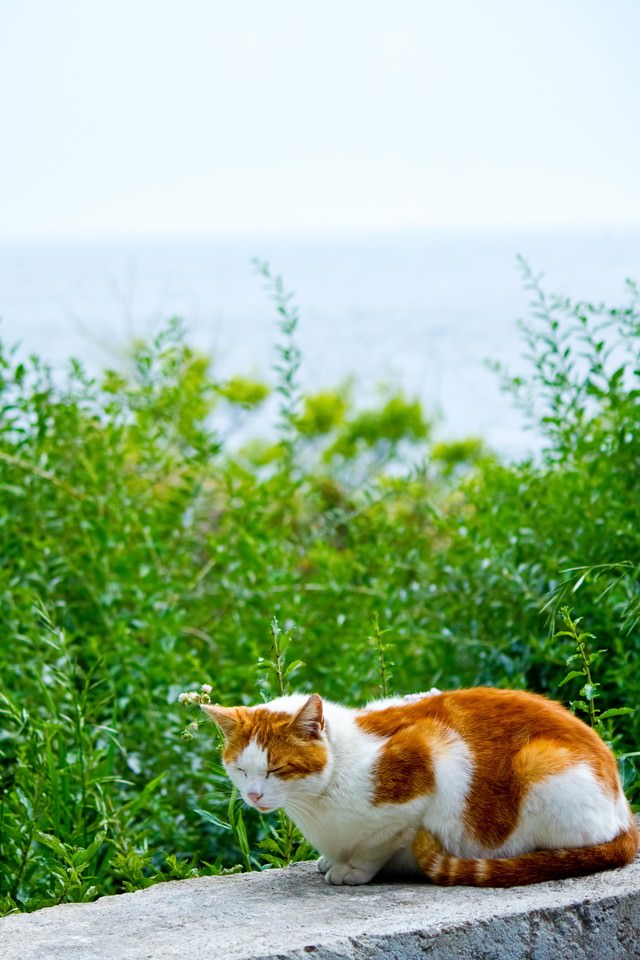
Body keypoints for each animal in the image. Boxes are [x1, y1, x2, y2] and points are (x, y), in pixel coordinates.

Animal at [202, 688, 636, 888]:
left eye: (277, 769)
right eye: (241, 770)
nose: (253, 795)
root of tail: (624, 809)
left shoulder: (432, 754)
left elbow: (381, 841)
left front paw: (353, 869)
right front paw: (332, 860)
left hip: (541, 763)